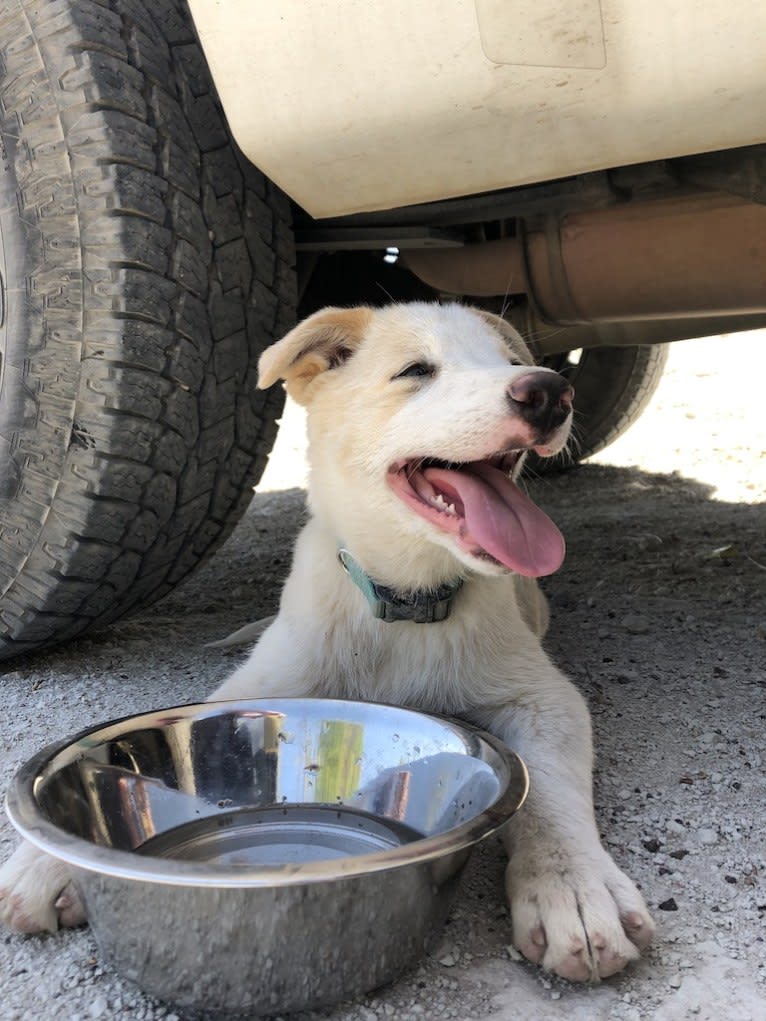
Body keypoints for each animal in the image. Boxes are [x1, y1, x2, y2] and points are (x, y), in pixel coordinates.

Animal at [1, 302, 661, 980]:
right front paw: (47, 860)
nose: (551, 391)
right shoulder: (261, 682)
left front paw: (574, 888)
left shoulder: (543, 698)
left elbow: (550, 792)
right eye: (416, 370)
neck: (402, 605)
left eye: (509, 360)